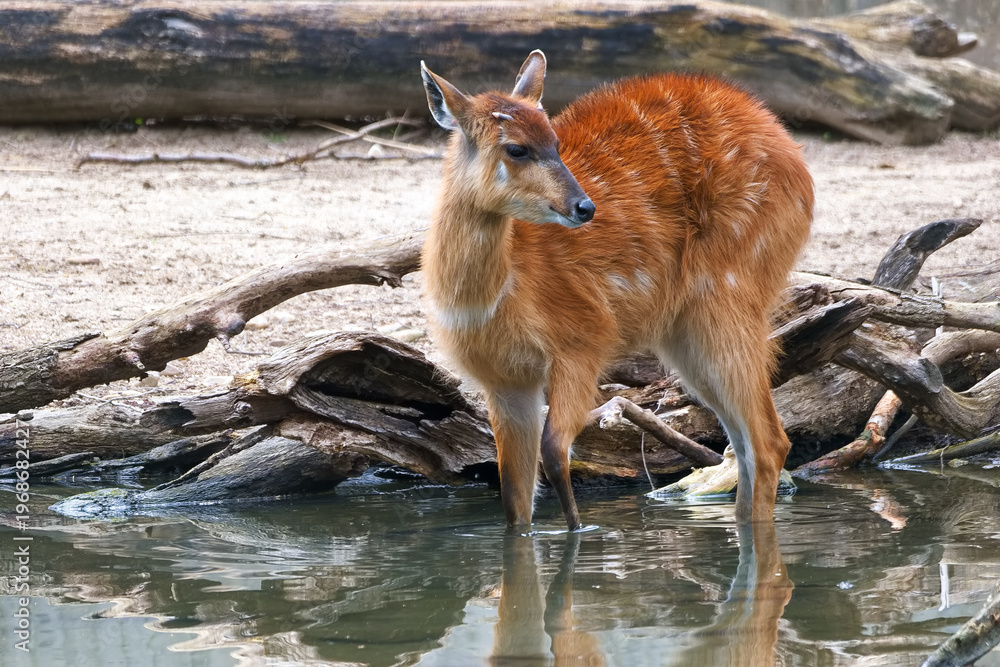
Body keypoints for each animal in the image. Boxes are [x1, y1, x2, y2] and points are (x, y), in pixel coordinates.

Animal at [420, 50, 812, 531]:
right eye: (516, 148)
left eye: (555, 141)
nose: (584, 207)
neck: (495, 296)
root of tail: (795, 157)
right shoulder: (507, 382)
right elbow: (515, 501)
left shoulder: (582, 344)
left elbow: (555, 454)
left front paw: (579, 532)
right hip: (685, 334)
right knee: (742, 448)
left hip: (726, 298)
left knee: (770, 442)